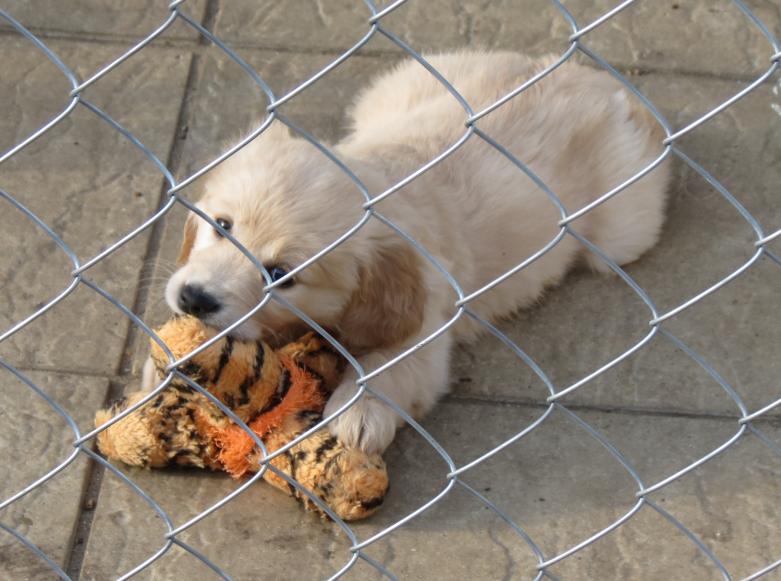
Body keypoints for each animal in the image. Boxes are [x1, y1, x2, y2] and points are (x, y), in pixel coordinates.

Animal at [161, 51, 668, 454]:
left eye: (281, 274)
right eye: (221, 226)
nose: (194, 299)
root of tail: (583, 76)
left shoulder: (426, 328)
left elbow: (390, 365)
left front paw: (358, 412)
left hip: (623, 227)